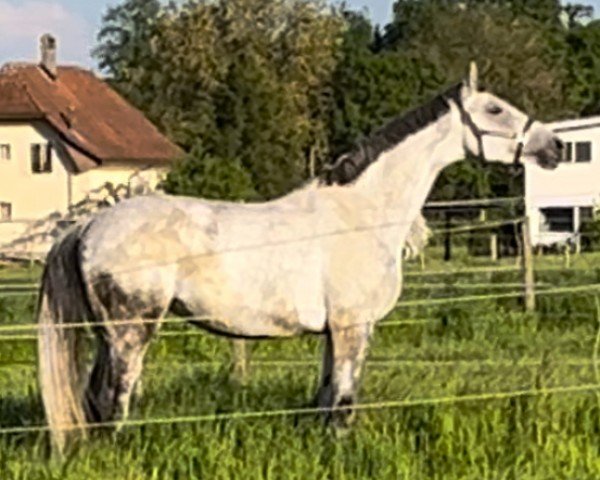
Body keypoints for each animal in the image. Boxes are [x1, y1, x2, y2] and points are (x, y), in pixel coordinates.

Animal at [37, 64, 564, 450]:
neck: (364, 212)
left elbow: (328, 397)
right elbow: (346, 400)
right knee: (111, 398)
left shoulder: (334, 332)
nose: (555, 146)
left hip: (107, 335)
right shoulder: (354, 326)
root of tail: (88, 226)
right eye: (495, 108)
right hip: (130, 331)